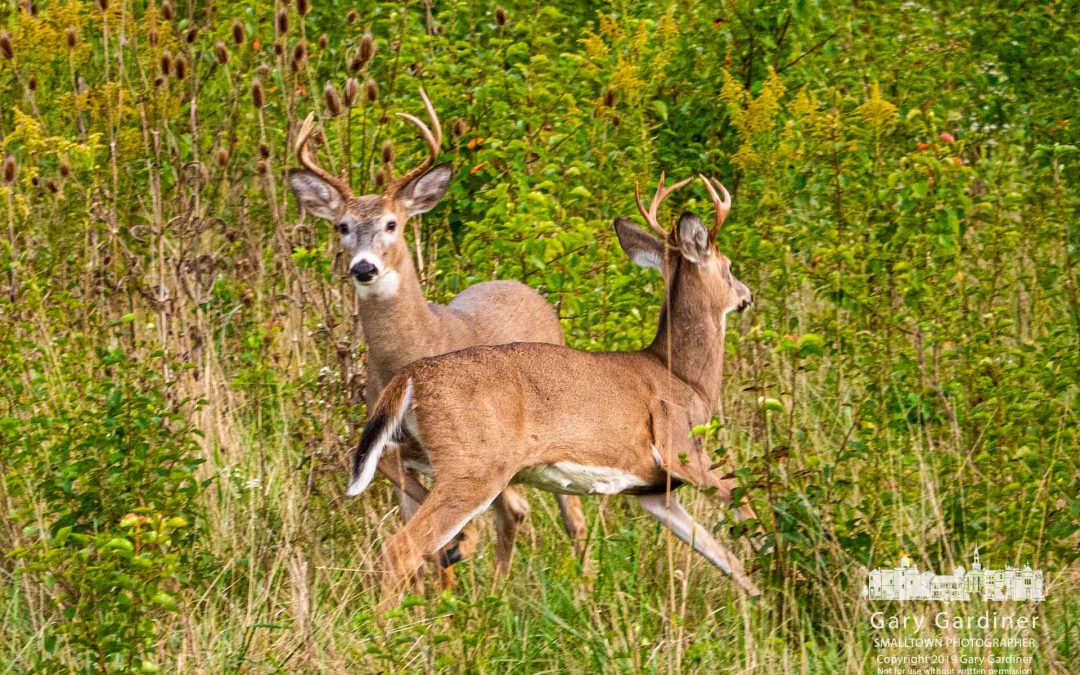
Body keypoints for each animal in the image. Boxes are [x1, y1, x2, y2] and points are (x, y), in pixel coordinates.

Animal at [287, 89, 587, 578]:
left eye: (392, 224)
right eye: (342, 226)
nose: (364, 267)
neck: (413, 350)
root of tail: (526, 288)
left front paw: (458, 550)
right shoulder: (391, 445)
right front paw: (445, 568)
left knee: (564, 514)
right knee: (512, 512)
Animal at [347, 173, 766, 608]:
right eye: (729, 266)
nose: (746, 295)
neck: (684, 378)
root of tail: (409, 375)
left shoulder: (653, 490)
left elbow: (723, 556)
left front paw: (762, 598)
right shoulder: (681, 451)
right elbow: (744, 503)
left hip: (428, 448)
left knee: (378, 462)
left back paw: (457, 549)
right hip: (473, 465)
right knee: (401, 547)